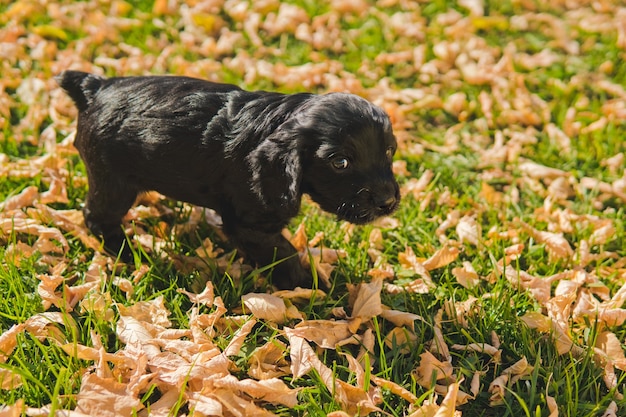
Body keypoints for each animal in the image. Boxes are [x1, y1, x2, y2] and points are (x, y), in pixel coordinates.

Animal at [57, 70, 400, 286]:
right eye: (340, 162)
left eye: (389, 151)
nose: (388, 202)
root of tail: (94, 86)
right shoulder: (249, 222)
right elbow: (283, 253)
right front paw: (308, 286)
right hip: (113, 181)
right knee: (97, 217)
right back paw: (127, 251)